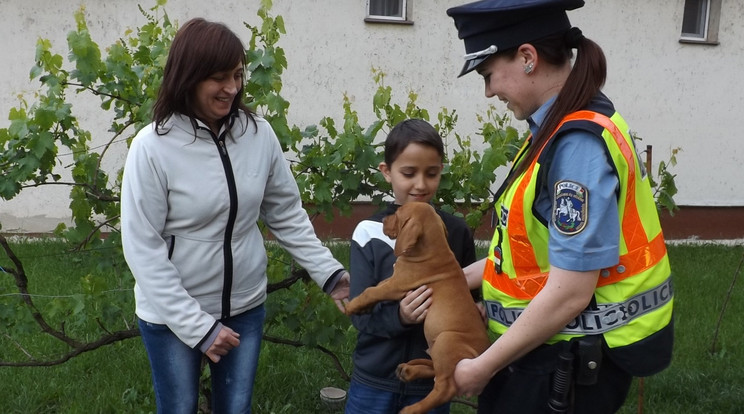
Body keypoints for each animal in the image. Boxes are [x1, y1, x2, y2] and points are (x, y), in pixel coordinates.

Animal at [346, 201, 492, 414]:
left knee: (445, 386)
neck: (432, 248)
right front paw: (362, 309)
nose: (383, 219)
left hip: (446, 340)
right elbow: (376, 285)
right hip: (438, 348)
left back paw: (411, 408)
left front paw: (352, 306)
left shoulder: (397, 285)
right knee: (435, 370)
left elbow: (371, 291)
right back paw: (409, 370)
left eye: (397, 213)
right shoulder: (393, 279)